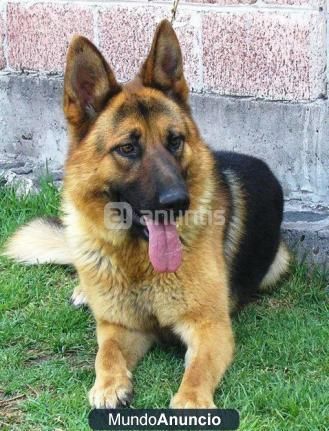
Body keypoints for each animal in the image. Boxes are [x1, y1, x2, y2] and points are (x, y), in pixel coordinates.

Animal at [3, 21, 288, 412]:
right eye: (127, 148)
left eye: (175, 141)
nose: (177, 202)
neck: (137, 261)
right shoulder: (120, 327)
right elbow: (105, 352)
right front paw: (109, 385)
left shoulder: (210, 327)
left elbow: (197, 369)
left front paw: (191, 402)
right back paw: (83, 290)